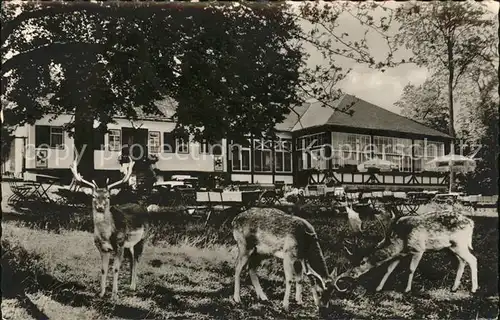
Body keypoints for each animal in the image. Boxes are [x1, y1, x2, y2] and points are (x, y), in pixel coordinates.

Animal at [70, 160, 148, 300]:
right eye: (94, 196)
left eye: (108, 197)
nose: (100, 207)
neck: (106, 236)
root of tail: (143, 207)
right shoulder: (102, 248)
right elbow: (103, 269)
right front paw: (101, 293)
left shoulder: (119, 244)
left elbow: (115, 269)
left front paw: (114, 294)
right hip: (130, 244)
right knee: (131, 259)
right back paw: (129, 284)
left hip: (143, 238)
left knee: (137, 259)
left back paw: (133, 286)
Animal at [334, 210, 478, 296]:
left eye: (362, 262)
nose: (350, 275)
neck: (401, 241)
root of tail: (472, 223)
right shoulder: (400, 255)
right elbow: (389, 269)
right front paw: (378, 288)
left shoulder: (419, 249)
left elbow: (411, 269)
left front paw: (407, 289)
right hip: (451, 248)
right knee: (462, 261)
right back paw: (454, 287)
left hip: (460, 244)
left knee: (473, 259)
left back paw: (474, 289)